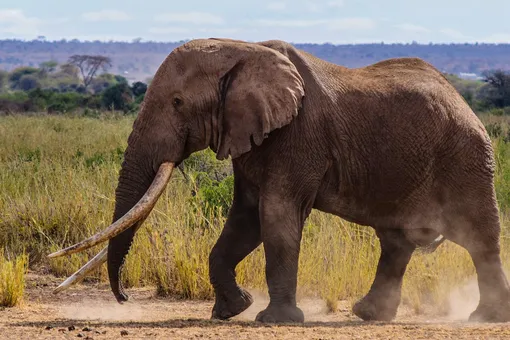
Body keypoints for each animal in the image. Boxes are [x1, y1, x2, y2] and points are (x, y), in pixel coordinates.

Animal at [49, 37, 510, 324]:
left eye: (178, 102)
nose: (124, 298)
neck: (240, 49)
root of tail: (463, 101)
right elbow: (246, 219)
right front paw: (231, 310)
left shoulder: (298, 135)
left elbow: (277, 215)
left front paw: (273, 319)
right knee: (396, 241)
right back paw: (368, 315)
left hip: (467, 158)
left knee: (478, 237)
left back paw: (484, 318)